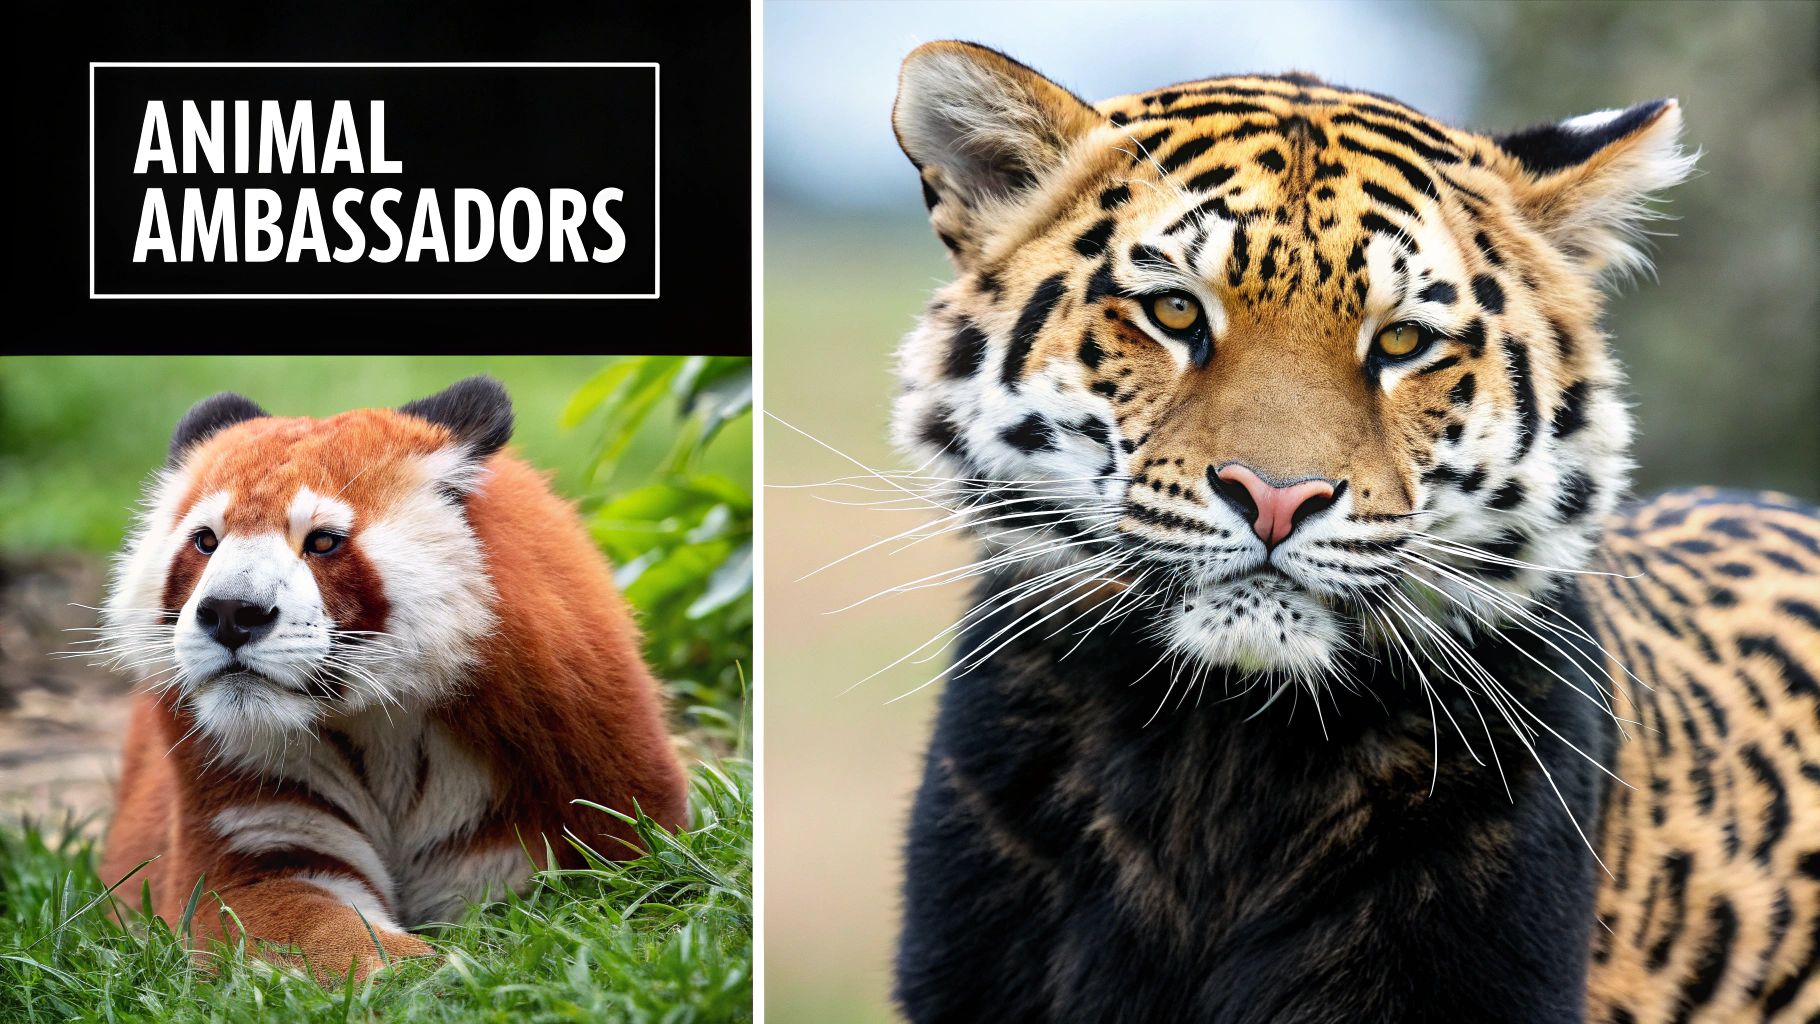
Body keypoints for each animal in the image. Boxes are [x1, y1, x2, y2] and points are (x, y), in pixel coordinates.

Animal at [94, 376, 687, 981]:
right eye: (206, 541)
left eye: (323, 541)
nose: (230, 613)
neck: (383, 729)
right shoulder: (252, 850)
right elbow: (332, 936)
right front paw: (424, 973)